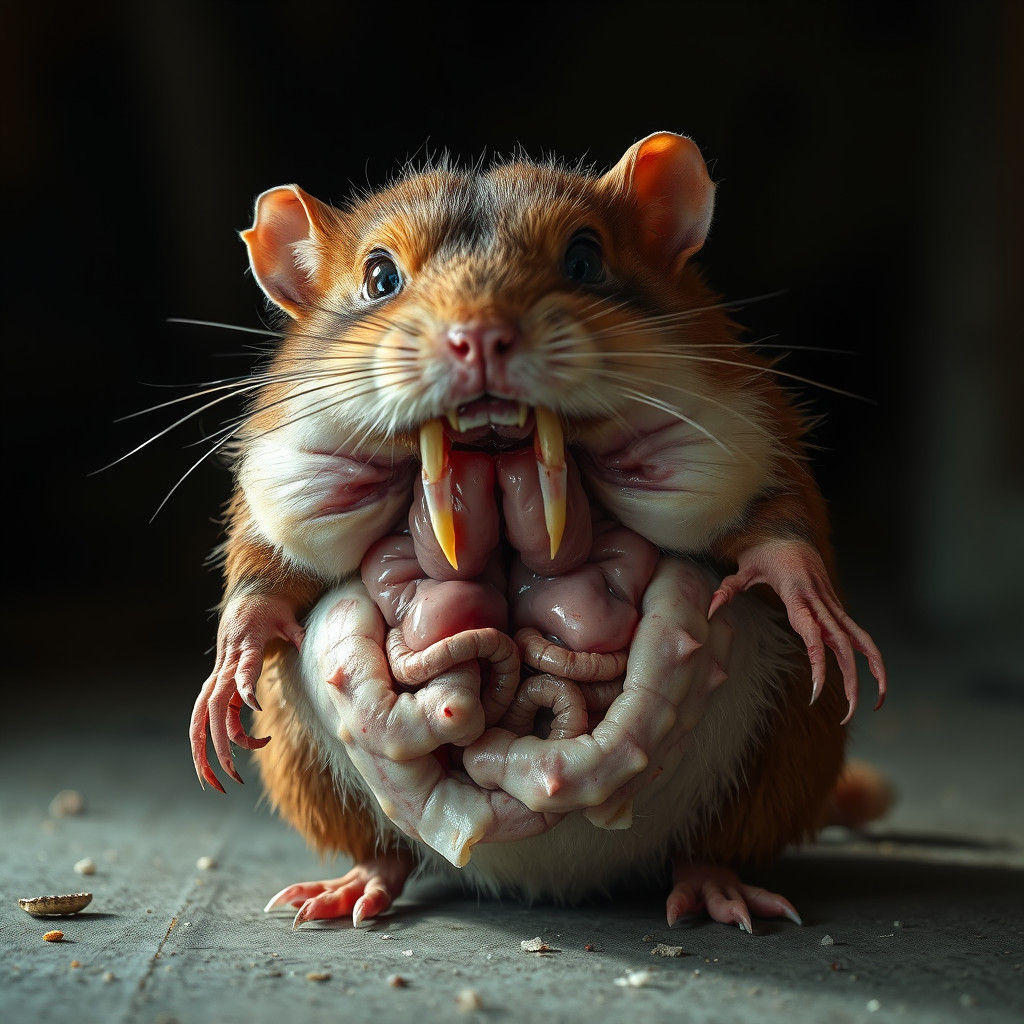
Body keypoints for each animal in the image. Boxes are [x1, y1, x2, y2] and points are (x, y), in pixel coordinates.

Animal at [189, 132, 889, 931]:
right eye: (379, 277)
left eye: (584, 258)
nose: (479, 338)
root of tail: (546, 875)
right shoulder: (275, 484)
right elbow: (265, 575)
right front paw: (226, 674)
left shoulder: (752, 434)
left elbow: (774, 530)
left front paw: (816, 611)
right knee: (387, 850)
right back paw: (350, 887)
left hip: (774, 762)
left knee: (710, 845)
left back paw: (722, 890)